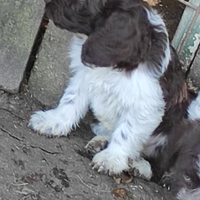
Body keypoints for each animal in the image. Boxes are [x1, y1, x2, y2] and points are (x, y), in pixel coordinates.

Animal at [28, 0, 189, 180]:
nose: (47, 3)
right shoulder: (83, 77)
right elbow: (70, 102)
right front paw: (52, 122)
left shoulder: (145, 105)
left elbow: (126, 132)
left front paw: (111, 159)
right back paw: (101, 142)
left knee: (157, 166)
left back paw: (138, 165)